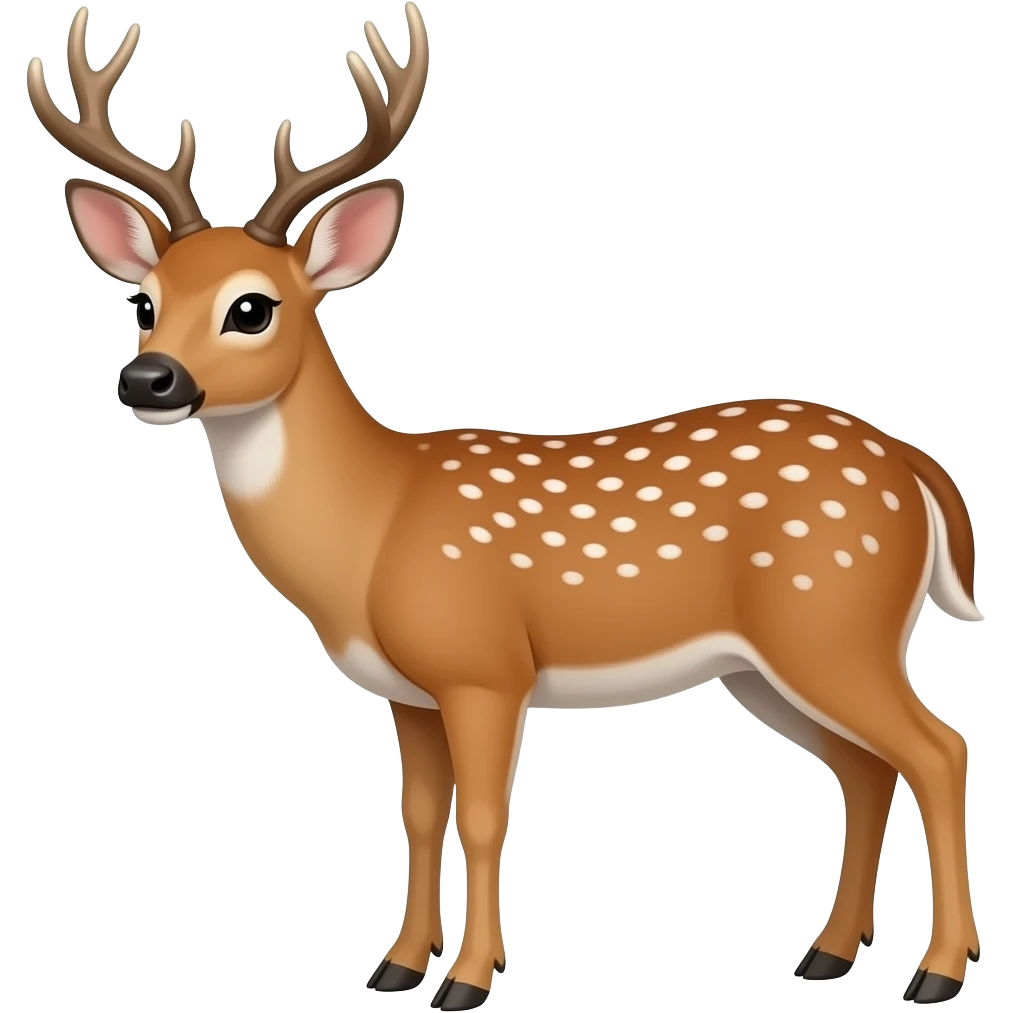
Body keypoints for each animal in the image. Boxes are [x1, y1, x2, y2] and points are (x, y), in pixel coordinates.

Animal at [28, 6, 984, 1009]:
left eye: (252, 308)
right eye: (146, 301)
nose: (149, 379)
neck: (372, 526)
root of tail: (912, 464)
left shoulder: (484, 664)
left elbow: (484, 816)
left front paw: (468, 979)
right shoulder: (405, 690)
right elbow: (417, 814)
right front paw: (396, 965)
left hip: (833, 621)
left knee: (937, 749)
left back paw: (936, 971)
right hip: (769, 661)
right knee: (865, 767)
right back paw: (827, 953)